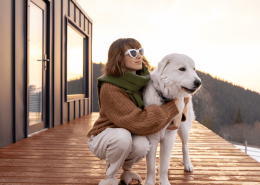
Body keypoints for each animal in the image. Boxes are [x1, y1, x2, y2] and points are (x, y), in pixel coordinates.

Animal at [142, 53, 201, 185]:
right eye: (182, 69)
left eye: (194, 69)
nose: (198, 82)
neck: (165, 99)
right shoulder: (152, 138)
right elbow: (151, 166)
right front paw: (150, 181)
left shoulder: (169, 137)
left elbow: (165, 164)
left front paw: (164, 181)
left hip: (183, 129)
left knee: (185, 146)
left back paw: (187, 164)